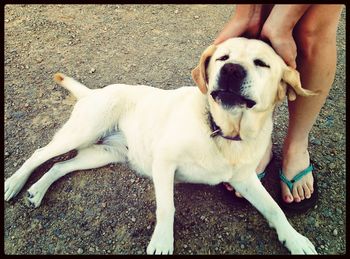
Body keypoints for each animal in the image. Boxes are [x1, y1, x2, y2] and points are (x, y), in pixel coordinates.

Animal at [4, 37, 318, 255]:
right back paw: (14, 184)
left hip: (101, 153)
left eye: (262, 63)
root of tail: (92, 92)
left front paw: (296, 239)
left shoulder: (245, 179)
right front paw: (162, 242)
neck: (221, 131)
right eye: (222, 57)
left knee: (60, 165)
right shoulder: (164, 163)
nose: (230, 70)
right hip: (83, 132)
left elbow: (274, 209)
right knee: (40, 154)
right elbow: (167, 207)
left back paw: (37, 191)